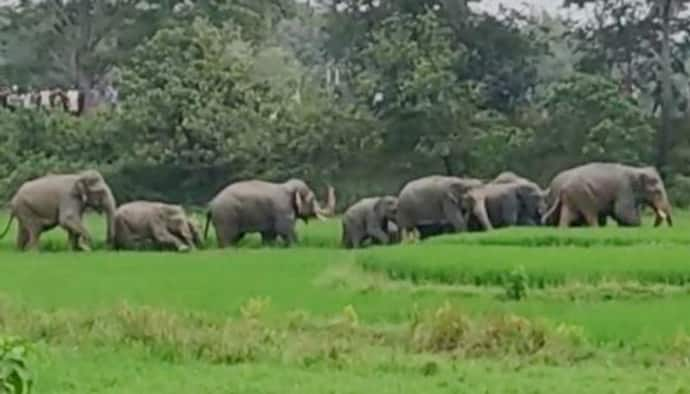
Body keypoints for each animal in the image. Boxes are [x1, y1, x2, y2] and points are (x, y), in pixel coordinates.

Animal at [203, 178, 334, 246]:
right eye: (312, 199)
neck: (287, 187)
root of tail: (211, 204)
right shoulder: (282, 209)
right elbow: (285, 230)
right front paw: (296, 246)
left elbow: (269, 235)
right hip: (225, 217)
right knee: (227, 238)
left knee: (235, 237)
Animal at [540, 162, 668, 226]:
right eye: (657, 191)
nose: (654, 226)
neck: (635, 169)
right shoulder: (624, 189)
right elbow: (622, 212)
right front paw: (638, 226)